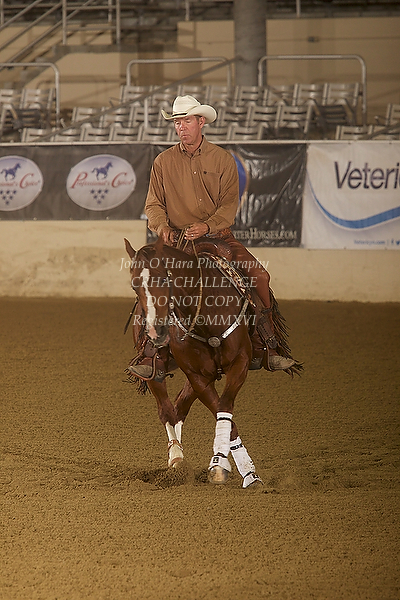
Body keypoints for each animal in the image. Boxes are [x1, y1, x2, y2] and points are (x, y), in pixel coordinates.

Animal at [123, 235, 300, 488]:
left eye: (164, 278)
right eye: (134, 285)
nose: (155, 332)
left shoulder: (239, 364)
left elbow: (224, 407)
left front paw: (242, 471)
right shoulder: (198, 375)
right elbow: (222, 412)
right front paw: (224, 466)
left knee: (179, 408)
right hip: (157, 372)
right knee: (167, 410)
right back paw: (176, 460)